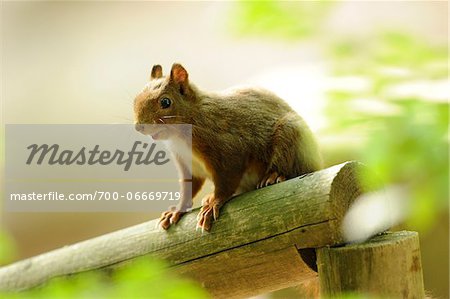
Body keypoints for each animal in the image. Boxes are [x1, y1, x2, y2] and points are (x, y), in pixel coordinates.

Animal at [134, 63, 324, 232]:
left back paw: (274, 175)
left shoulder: (228, 150)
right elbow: (190, 186)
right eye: (136, 99)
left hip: (291, 135)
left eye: (166, 102)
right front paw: (177, 209)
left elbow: (226, 181)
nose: (139, 127)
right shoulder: (187, 163)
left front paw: (214, 203)